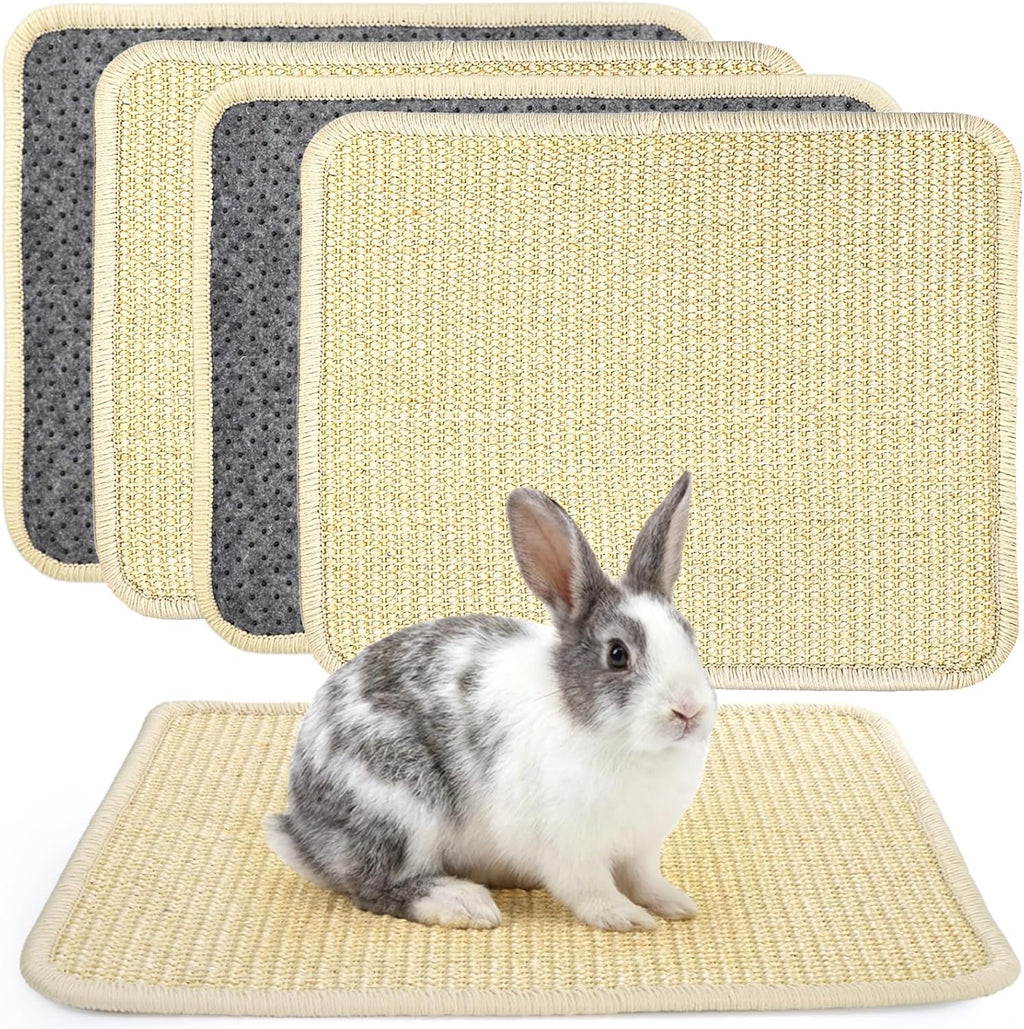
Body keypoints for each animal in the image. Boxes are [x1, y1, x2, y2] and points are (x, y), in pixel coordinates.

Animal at [265, 472, 716, 931]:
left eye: (689, 635)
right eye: (618, 654)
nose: (688, 709)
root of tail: (303, 834)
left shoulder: (642, 848)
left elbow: (644, 879)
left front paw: (674, 904)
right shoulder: (569, 847)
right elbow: (590, 889)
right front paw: (625, 917)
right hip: (398, 807)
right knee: (375, 887)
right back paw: (463, 903)